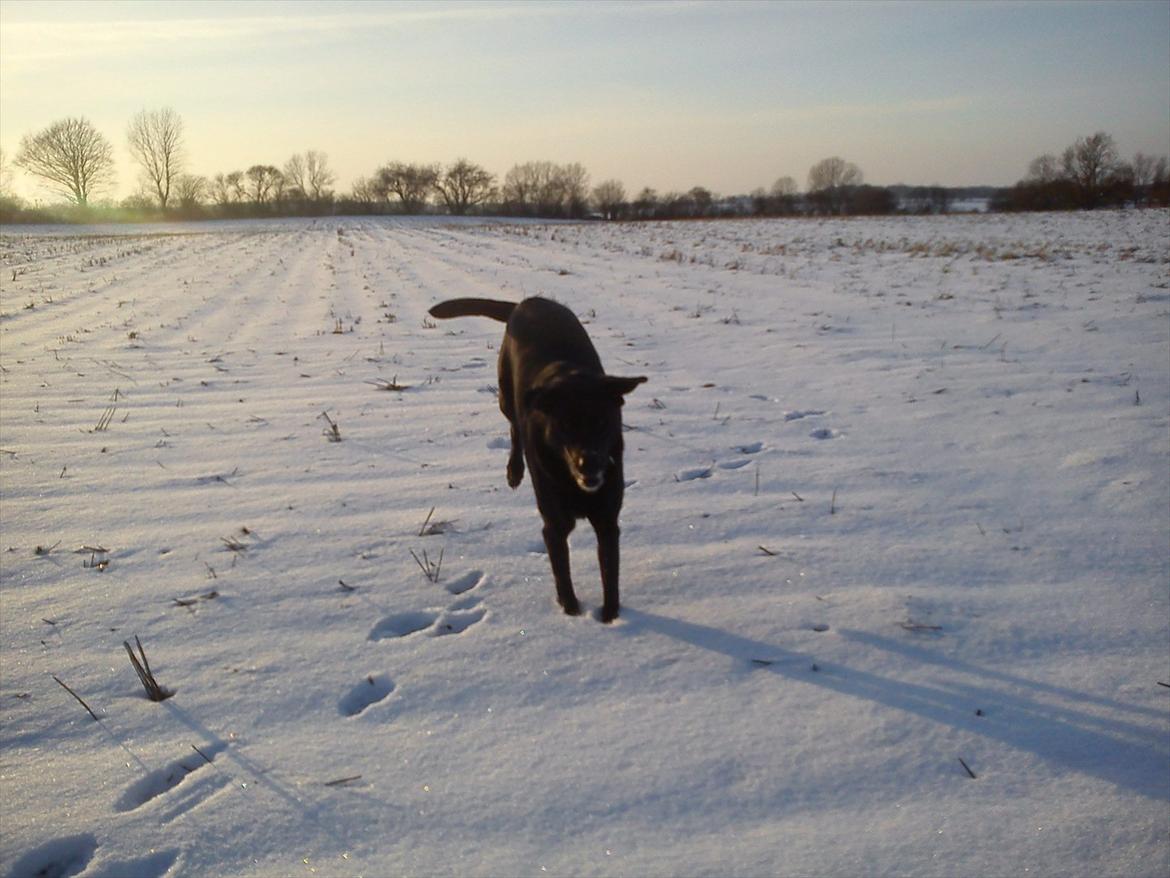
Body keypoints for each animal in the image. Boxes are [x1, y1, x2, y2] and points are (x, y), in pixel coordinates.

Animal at [430, 299, 650, 622]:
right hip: (506, 397)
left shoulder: (608, 520)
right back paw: (514, 471)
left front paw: (609, 617)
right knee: (514, 428)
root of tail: (528, 300)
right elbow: (562, 573)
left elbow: (610, 573)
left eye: (602, 422)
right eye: (565, 426)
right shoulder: (554, 524)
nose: (589, 464)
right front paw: (571, 611)